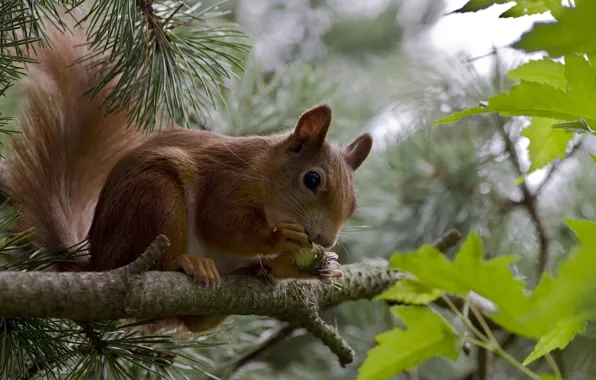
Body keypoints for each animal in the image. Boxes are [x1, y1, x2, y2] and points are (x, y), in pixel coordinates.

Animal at [3, 28, 372, 334]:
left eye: (354, 204)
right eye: (312, 179)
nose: (325, 240)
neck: (264, 173)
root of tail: (98, 264)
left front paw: (317, 266)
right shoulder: (227, 181)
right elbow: (221, 224)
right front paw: (280, 237)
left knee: (198, 323)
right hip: (154, 197)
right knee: (159, 262)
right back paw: (187, 262)